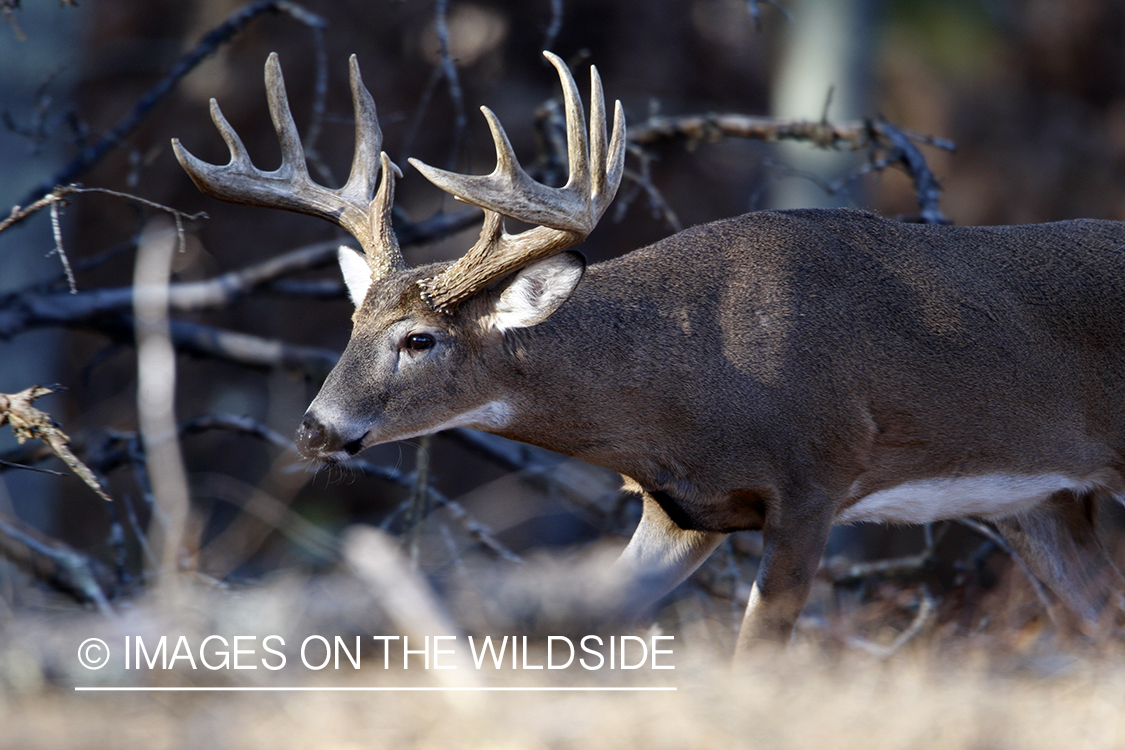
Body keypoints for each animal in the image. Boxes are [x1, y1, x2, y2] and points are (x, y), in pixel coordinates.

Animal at [168, 49, 1125, 652]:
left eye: (419, 338)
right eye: (350, 325)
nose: (316, 430)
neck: (684, 390)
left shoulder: (817, 475)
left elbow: (755, 655)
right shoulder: (678, 512)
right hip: (1041, 503)